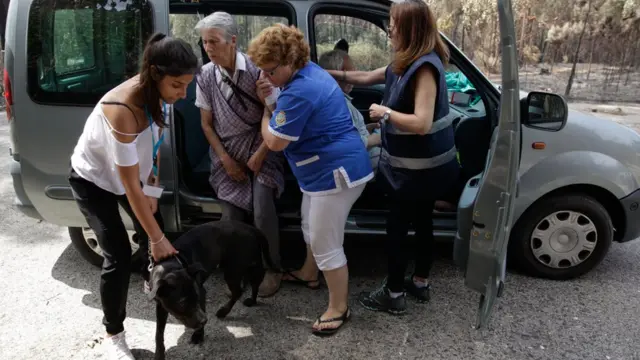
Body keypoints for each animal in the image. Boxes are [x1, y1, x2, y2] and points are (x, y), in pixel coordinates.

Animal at [148, 219, 276, 360]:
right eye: (182, 303)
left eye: (197, 297)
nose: (204, 320)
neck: (172, 265)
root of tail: (251, 228)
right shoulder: (161, 305)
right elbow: (158, 332)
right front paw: (159, 353)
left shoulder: (202, 292)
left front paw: (198, 335)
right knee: (251, 284)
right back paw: (250, 301)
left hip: (234, 270)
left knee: (242, 289)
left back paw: (226, 310)